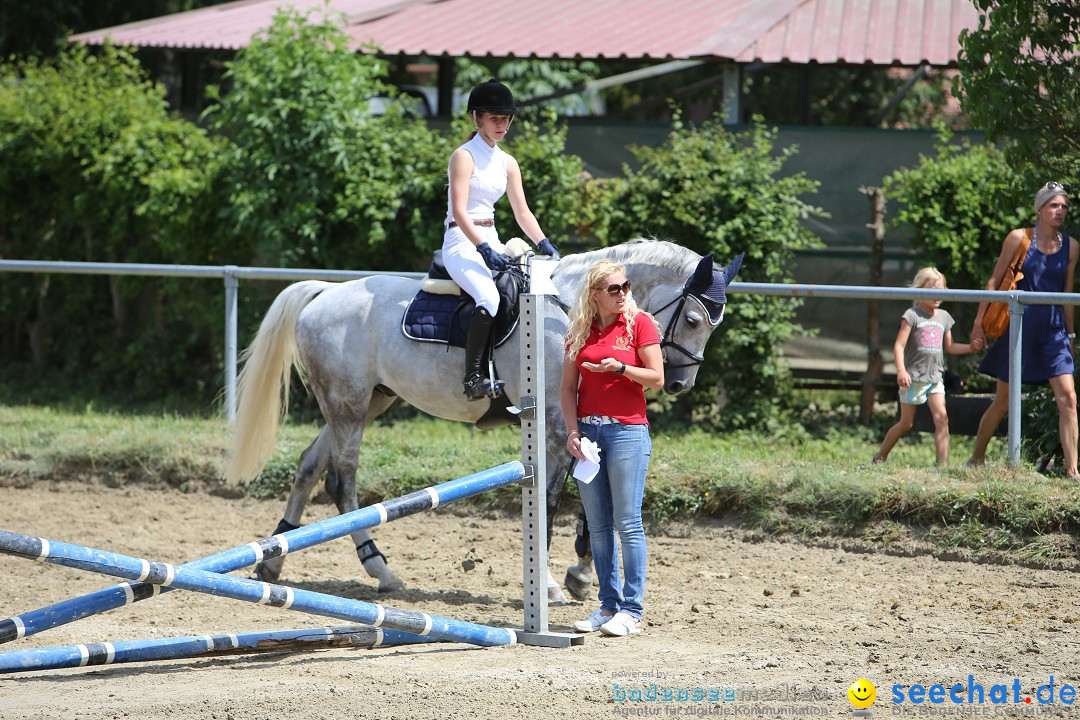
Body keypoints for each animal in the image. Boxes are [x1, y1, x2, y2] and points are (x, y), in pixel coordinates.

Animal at [223, 239, 738, 600]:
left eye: (716, 324)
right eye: (694, 319)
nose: (680, 385)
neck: (570, 311)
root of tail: (324, 293)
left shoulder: (575, 424)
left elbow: (597, 499)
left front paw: (579, 574)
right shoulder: (554, 429)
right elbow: (551, 501)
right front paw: (550, 584)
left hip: (366, 403)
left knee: (310, 464)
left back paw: (273, 560)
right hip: (348, 406)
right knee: (341, 481)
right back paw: (380, 570)